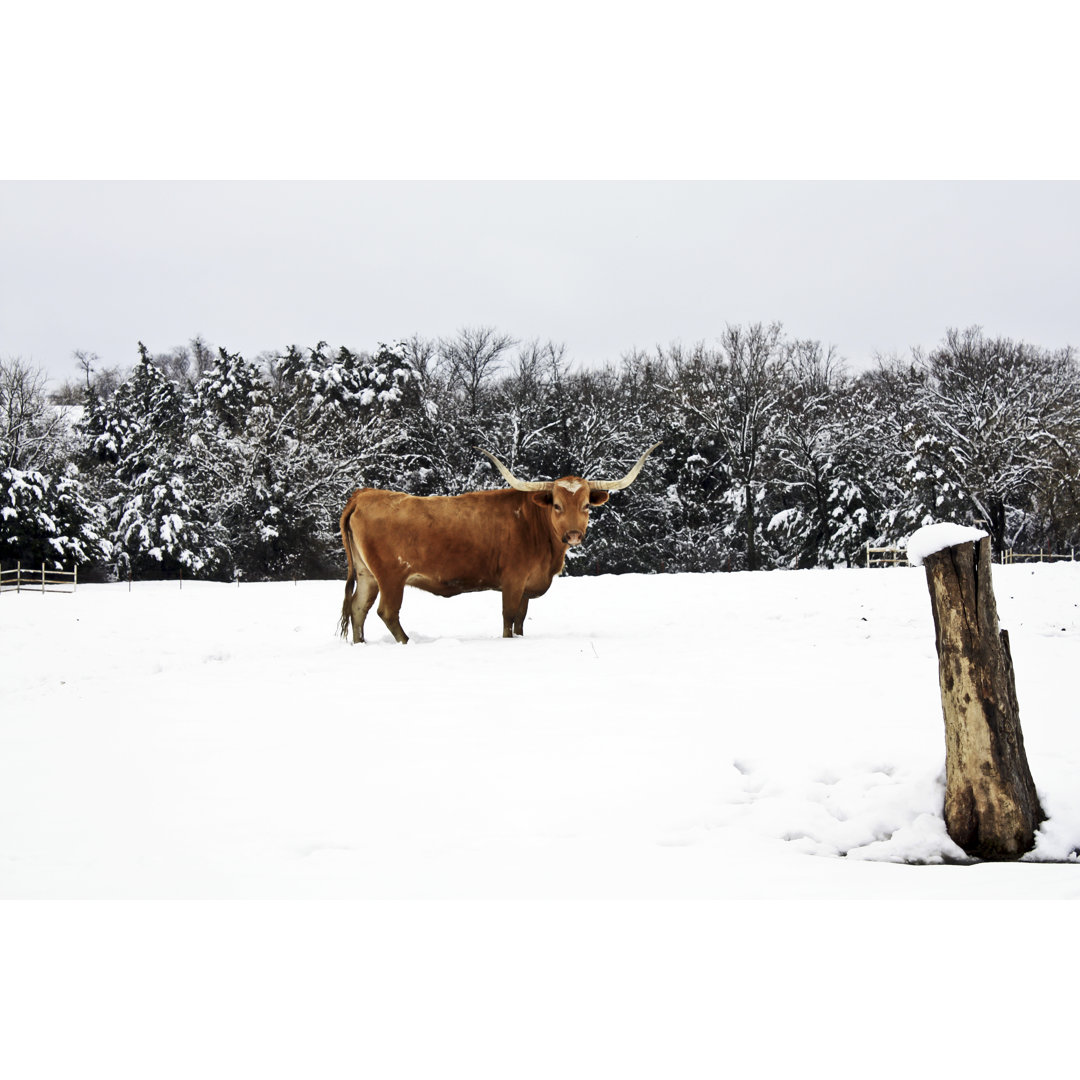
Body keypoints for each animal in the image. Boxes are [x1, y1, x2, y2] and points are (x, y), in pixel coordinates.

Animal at [338, 443, 660, 643]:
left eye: (585, 506)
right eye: (556, 505)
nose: (573, 534)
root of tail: (364, 494)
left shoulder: (527, 586)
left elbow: (520, 620)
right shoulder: (513, 581)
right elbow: (508, 618)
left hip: (367, 575)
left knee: (358, 608)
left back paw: (361, 644)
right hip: (391, 577)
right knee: (386, 612)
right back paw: (407, 642)